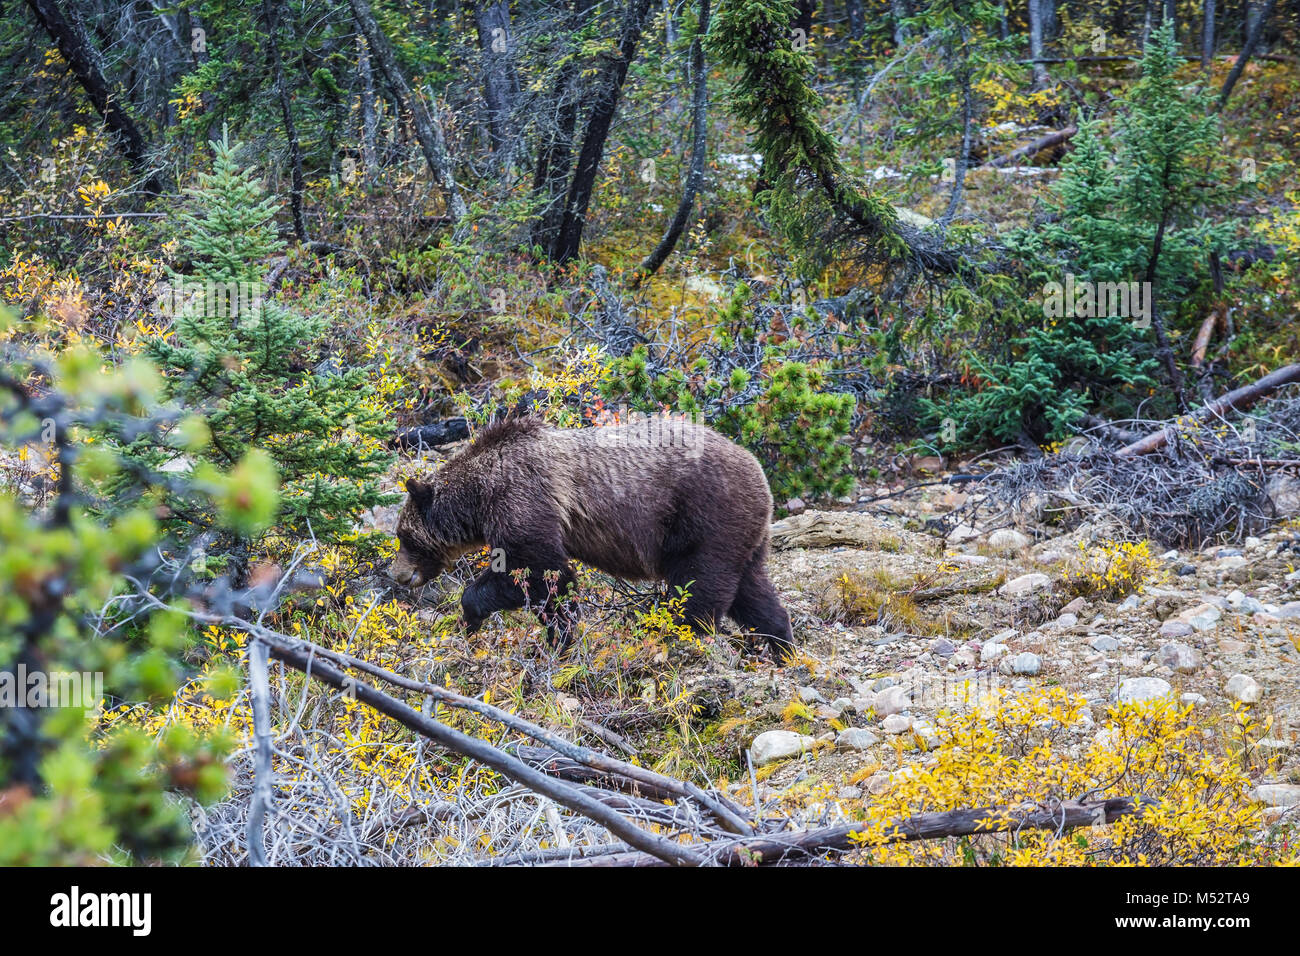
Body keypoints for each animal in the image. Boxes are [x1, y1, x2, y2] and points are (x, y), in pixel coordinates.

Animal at [387, 415, 794, 659]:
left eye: (404, 536)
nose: (397, 574)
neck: (479, 496)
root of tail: (758, 469)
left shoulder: (525, 498)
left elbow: (542, 573)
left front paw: (554, 640)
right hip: (742, 534)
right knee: (752, 591)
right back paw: (781, 645)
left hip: (705, 515)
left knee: (697, 586)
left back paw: (677, 638)